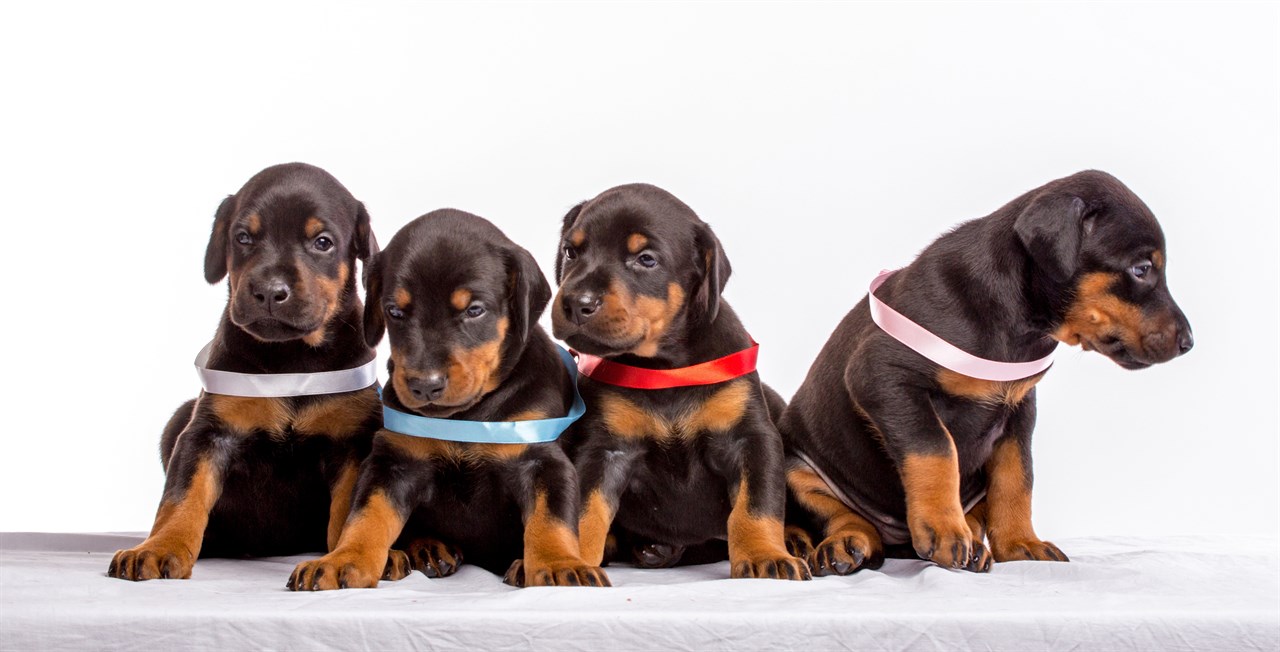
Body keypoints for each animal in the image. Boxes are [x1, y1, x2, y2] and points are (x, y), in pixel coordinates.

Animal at [108, 162, 378, 578]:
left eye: (323, 242)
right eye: (243, 237)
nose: (269, 292)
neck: (290, 361)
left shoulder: (351, 441)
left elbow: (346, 510)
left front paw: (338, 559)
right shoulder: (208, 433)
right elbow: (181, 497)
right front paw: (158, 547)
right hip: (179, 418)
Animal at [290, 210, 609, 589]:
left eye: (474, 310)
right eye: (395, 312)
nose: (424, 385)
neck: (466, 416)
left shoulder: (541, 460)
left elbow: (552, 520)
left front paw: (561, 565)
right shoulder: (394, 462)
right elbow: (365, 516)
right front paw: (342, 560)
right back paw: (426, 548)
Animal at [550, 181, 808, 578]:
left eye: (646, 260)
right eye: (571, 251)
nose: (578, 303)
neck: (664, 367)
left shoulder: (750, 439)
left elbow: (756, 506)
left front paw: (766, 555)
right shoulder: (605, 450)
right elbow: (585, 511)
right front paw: (572, 560)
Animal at [778, 169, 1187, 573]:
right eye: (1141, 269)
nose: (1189, 342)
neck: (1017, 320)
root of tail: (898, 543)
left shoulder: (1019, 406)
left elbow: (1017, 477)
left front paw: (1021, 543)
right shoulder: (883, 375)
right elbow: (936, 447)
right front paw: (944, 529)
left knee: (976, 515)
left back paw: (975, 546)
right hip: (798, 469)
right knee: (843, 515)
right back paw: (849, 544)